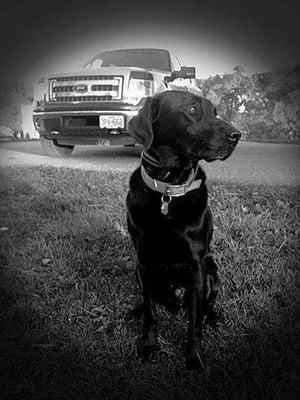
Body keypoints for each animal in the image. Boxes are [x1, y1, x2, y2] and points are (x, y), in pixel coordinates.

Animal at [125, 89, 240, 370]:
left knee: (208, 303)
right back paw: (135, 310)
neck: (168, 190)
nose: (237, 135)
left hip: (213, 272)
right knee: (148, 301)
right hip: (137, 271)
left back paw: (213, 317)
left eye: (215, 112)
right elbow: (151, 313)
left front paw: (194, 358)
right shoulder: (144, 262)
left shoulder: (197, 266)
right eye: (192, 110)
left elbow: (194, 322)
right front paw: (148, 346)